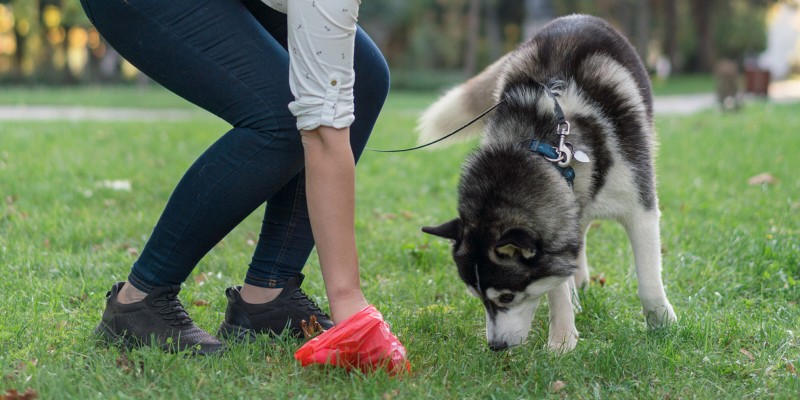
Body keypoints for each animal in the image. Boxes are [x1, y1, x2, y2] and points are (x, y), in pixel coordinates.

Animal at [418, 14, 676, 352]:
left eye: (507, 297)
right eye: (478, 298)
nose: (496, 346)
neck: (547, 147)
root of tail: (575, 17)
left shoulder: (639, 206)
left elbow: (647, 276)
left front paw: (662, 323)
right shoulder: (560, 222)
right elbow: (556, 285)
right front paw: (563, 340)